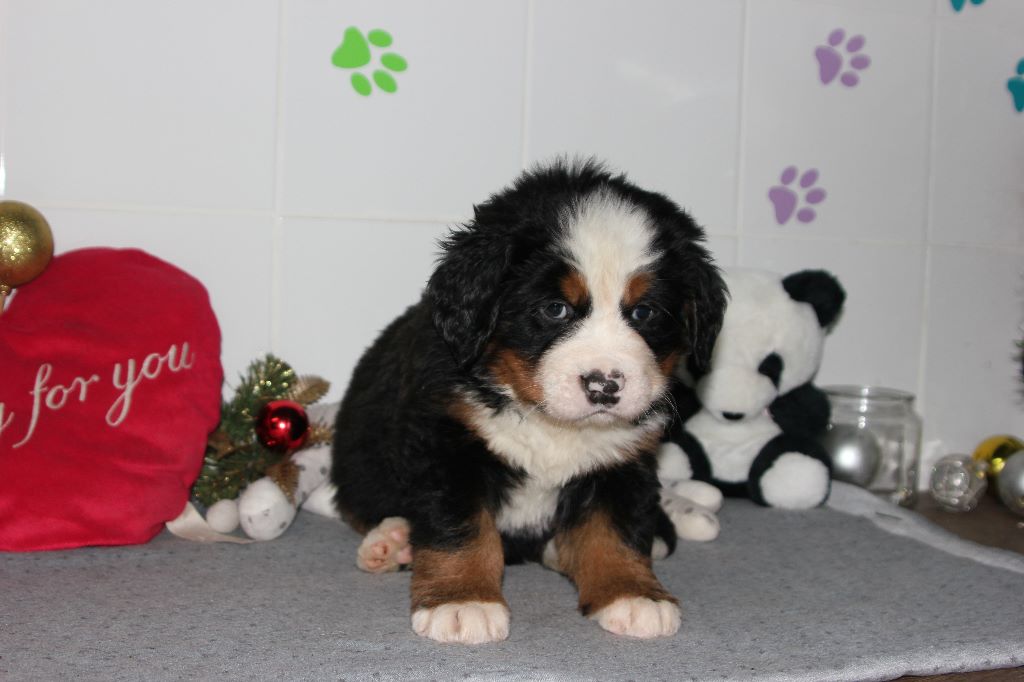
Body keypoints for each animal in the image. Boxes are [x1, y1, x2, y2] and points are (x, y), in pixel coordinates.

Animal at [331, 159, 726, 644]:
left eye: (644, 312)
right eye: (555, 309)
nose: (604, 385)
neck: (547, 421)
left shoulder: (621, 460)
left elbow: (613, 529)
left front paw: (631, 594)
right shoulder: (447, 441)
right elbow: (460, 528)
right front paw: (462, 600)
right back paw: (392, 542)